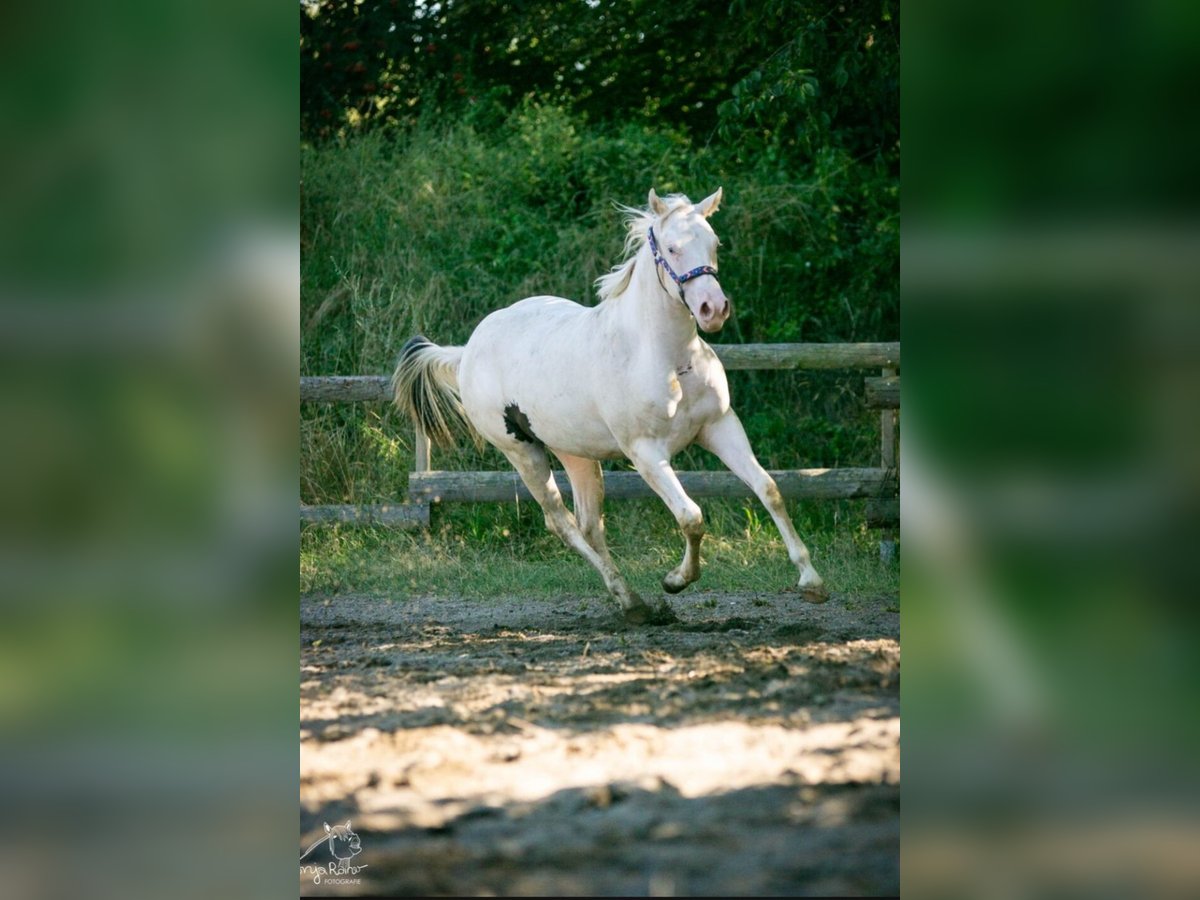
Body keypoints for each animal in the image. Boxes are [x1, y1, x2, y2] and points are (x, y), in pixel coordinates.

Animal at [393, 187, 825, 624]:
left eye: (715, 243)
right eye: (672, 248)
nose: (713, 309)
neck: (668, 358)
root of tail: (466, 351)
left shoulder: (719, 426)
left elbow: (768, 488)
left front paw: (811, 581)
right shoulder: (646, 453)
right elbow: (691, 516)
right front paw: (675, 580)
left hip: (576, 453)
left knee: (589, 525)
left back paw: (631, 600)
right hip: (523, 452)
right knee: (562, 523)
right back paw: (631, 600)